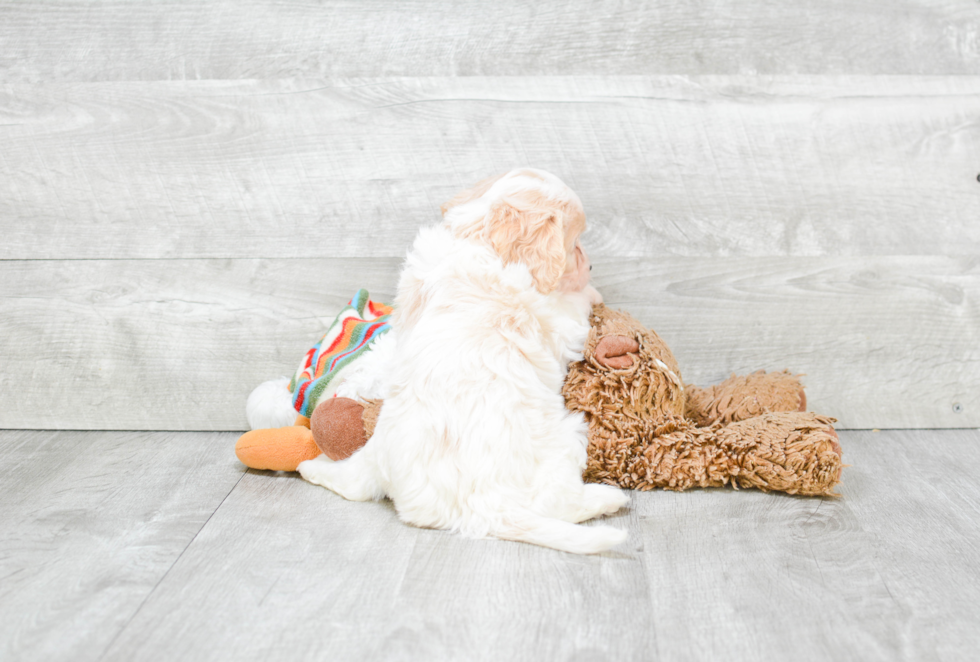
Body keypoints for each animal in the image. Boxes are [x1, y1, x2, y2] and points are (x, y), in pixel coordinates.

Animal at [298, 170, 632, 556]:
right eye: (574, 242)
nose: (590, 266)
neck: (477, 237)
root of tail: (478, 511)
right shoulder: (560, 319)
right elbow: (576, 302)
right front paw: (592, 290)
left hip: (374, 455)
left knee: (354, 485)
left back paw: (312, 467)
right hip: (568, 435)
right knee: (559, 504)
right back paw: (606, 498)